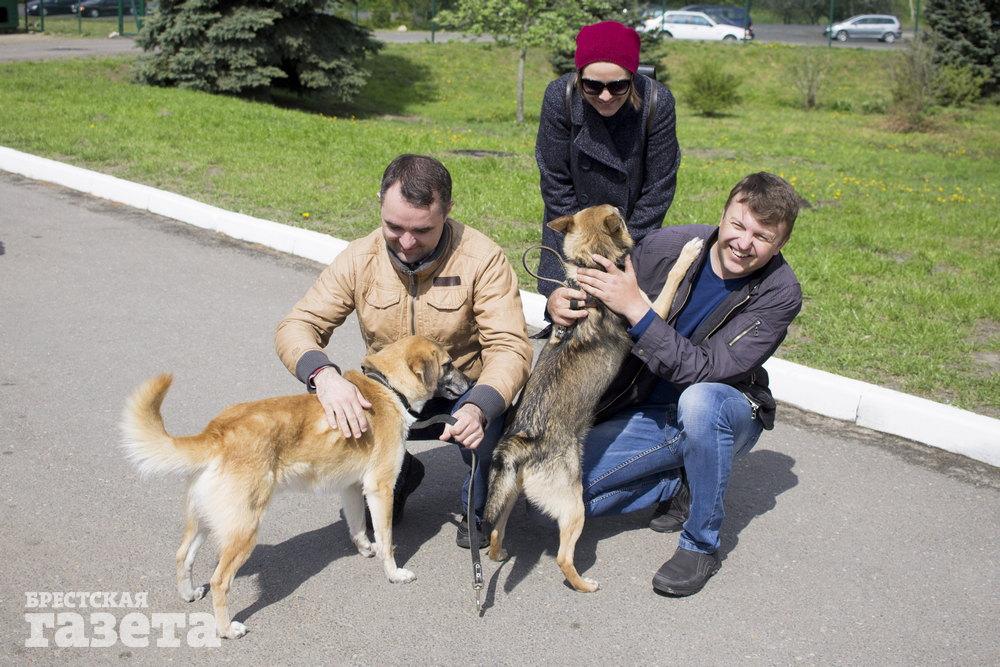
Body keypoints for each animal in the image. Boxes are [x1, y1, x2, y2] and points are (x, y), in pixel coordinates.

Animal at [120, 335, 469, 638]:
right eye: (449, 364)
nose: (470, 383)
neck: (387, 387)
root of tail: (217, 432)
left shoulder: (352, 488)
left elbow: (358, 527)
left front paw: (363, 548)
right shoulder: (380, 488)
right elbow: (387, 541)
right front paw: (394, 574)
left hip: (205, 520)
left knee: (183, 555)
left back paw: (188, 593)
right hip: (244, 529)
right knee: (219, 581)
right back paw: (226, 629)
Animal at [484, 204, 703, 592]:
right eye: (622, 216)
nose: (631, 215)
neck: (591, 268)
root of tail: (521, 441)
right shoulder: (650, 311)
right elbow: (672, 279)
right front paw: (688, 253)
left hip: (511, 494)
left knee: (497, 531)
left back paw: (498, 553)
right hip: (575, 508)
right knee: (562, 558)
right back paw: (584, 584)